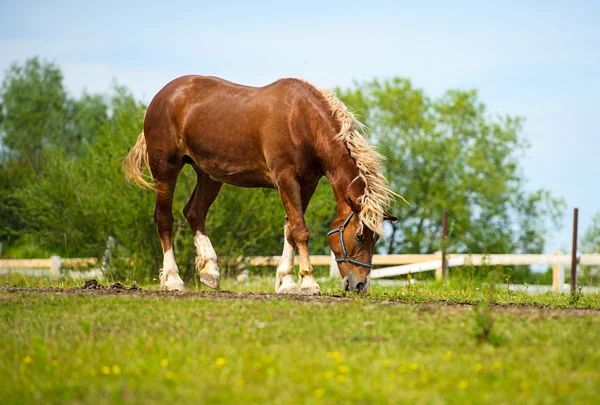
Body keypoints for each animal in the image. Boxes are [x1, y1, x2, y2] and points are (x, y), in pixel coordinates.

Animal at [123, 75, 396, 294]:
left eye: (376, 238)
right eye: (360, 236)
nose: (360, 284)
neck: (301, 120)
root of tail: (162, 96)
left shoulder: (307, 184)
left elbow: (290, 230)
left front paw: (286, 282)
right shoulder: (285, 178)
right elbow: (300, 230)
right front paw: (308, 283)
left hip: (208, 175)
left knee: (194, 212)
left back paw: (210, 271)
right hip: (165, 169)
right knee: (164, 219)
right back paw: (173, 279)